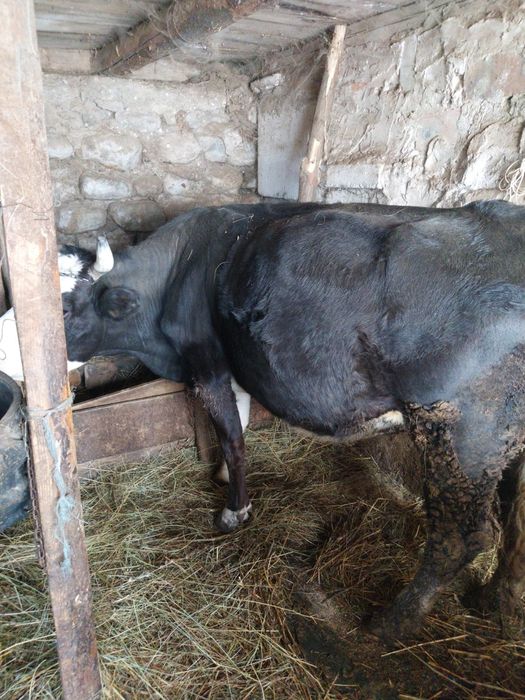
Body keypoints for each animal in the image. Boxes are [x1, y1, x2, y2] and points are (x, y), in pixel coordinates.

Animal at [6, 199, 525, 642]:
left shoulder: (208, 363)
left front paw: (234, 511)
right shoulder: (230, 368)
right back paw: (491, 600)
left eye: (63, 309)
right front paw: (220, 475)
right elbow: (236, 424)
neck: (177, 276)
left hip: (462, 436)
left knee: (461, 539)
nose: (6, 353)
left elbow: (233, 437)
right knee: (513, 525)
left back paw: (388, 624)